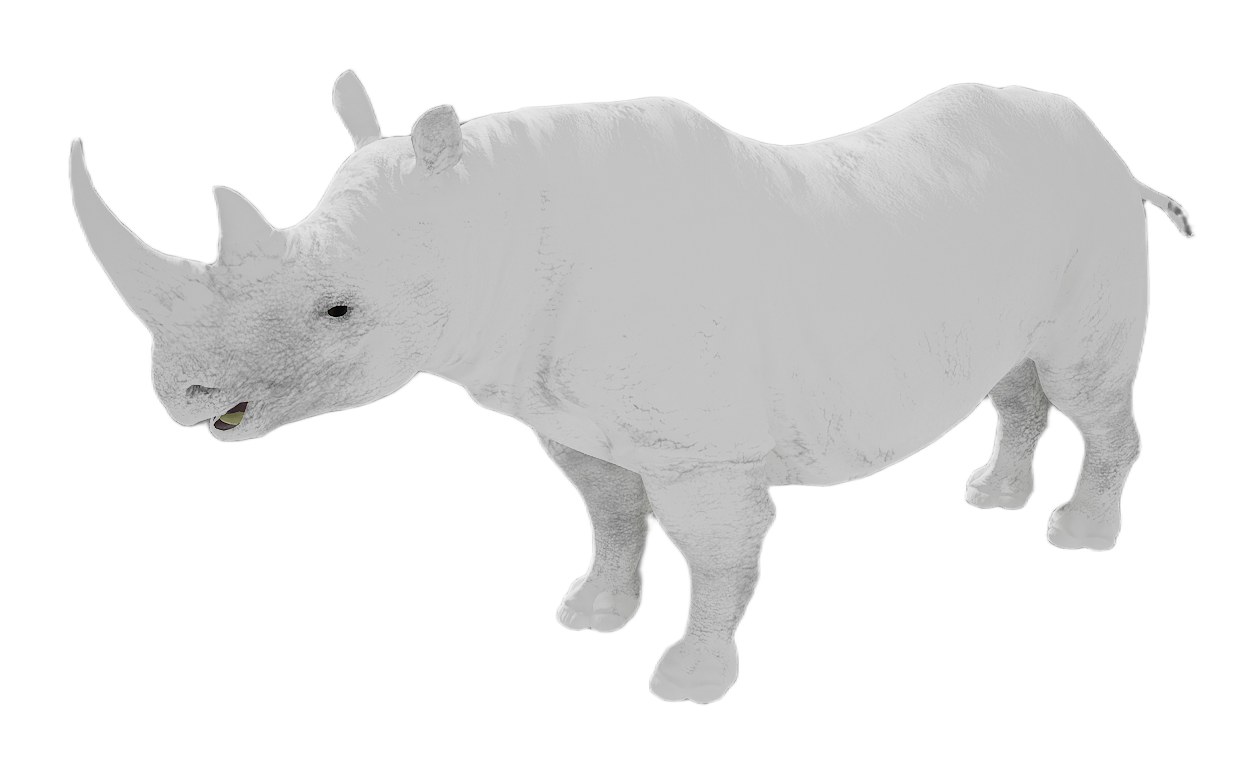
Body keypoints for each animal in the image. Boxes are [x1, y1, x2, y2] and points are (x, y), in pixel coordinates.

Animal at [70, 71, 1194, 704]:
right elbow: (610, 516)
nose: (184, 394)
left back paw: (1078, 535)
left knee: (1085, 383)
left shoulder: (702, 449)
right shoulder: (571, 417)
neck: (492, 221)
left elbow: (715, 552)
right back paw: (994, 497)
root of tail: (1106, 144)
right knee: (1016, 374)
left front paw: (689, 680)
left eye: (338, 312)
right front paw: (592, 614)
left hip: (1089, 210)